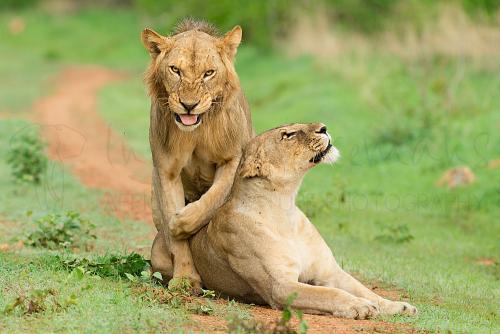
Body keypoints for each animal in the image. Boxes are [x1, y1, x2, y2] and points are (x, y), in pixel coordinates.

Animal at [143, 19, 254, 288]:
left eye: (208, 73)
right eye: (175, 70)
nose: (189, 105)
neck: (196, 131)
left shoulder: (233, 159)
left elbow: (212, 199)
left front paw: (179, 223)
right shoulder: (167, 171)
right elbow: (176, 241)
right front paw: (185, 279)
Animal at [188, 122, 418, 318]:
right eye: (288, 135)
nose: (324, 127)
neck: (284, 209)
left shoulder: (329, 271)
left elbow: (366, 290)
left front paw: (398, 306)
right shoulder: (280, 287)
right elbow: (329, 293)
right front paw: (359, 306)